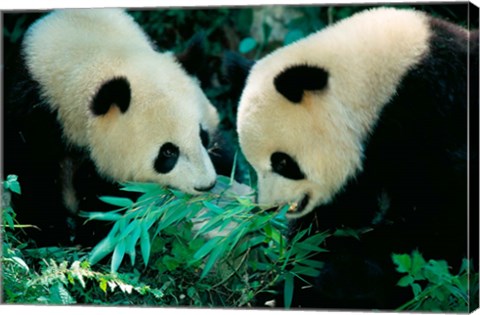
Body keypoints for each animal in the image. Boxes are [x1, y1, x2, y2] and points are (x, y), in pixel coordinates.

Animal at [3, 8, 229, 247]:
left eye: (203, 136)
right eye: (168, 152)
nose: (206, 185)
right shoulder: (32, 112)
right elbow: (33, 176)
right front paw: (55, 234)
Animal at [232, 6, 476, 312]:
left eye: (282, 162)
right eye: (253, 165)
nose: (269, 207)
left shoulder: (435, 116)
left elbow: (438, 217)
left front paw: (343, 283)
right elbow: (335, 216)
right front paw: (291, 282)